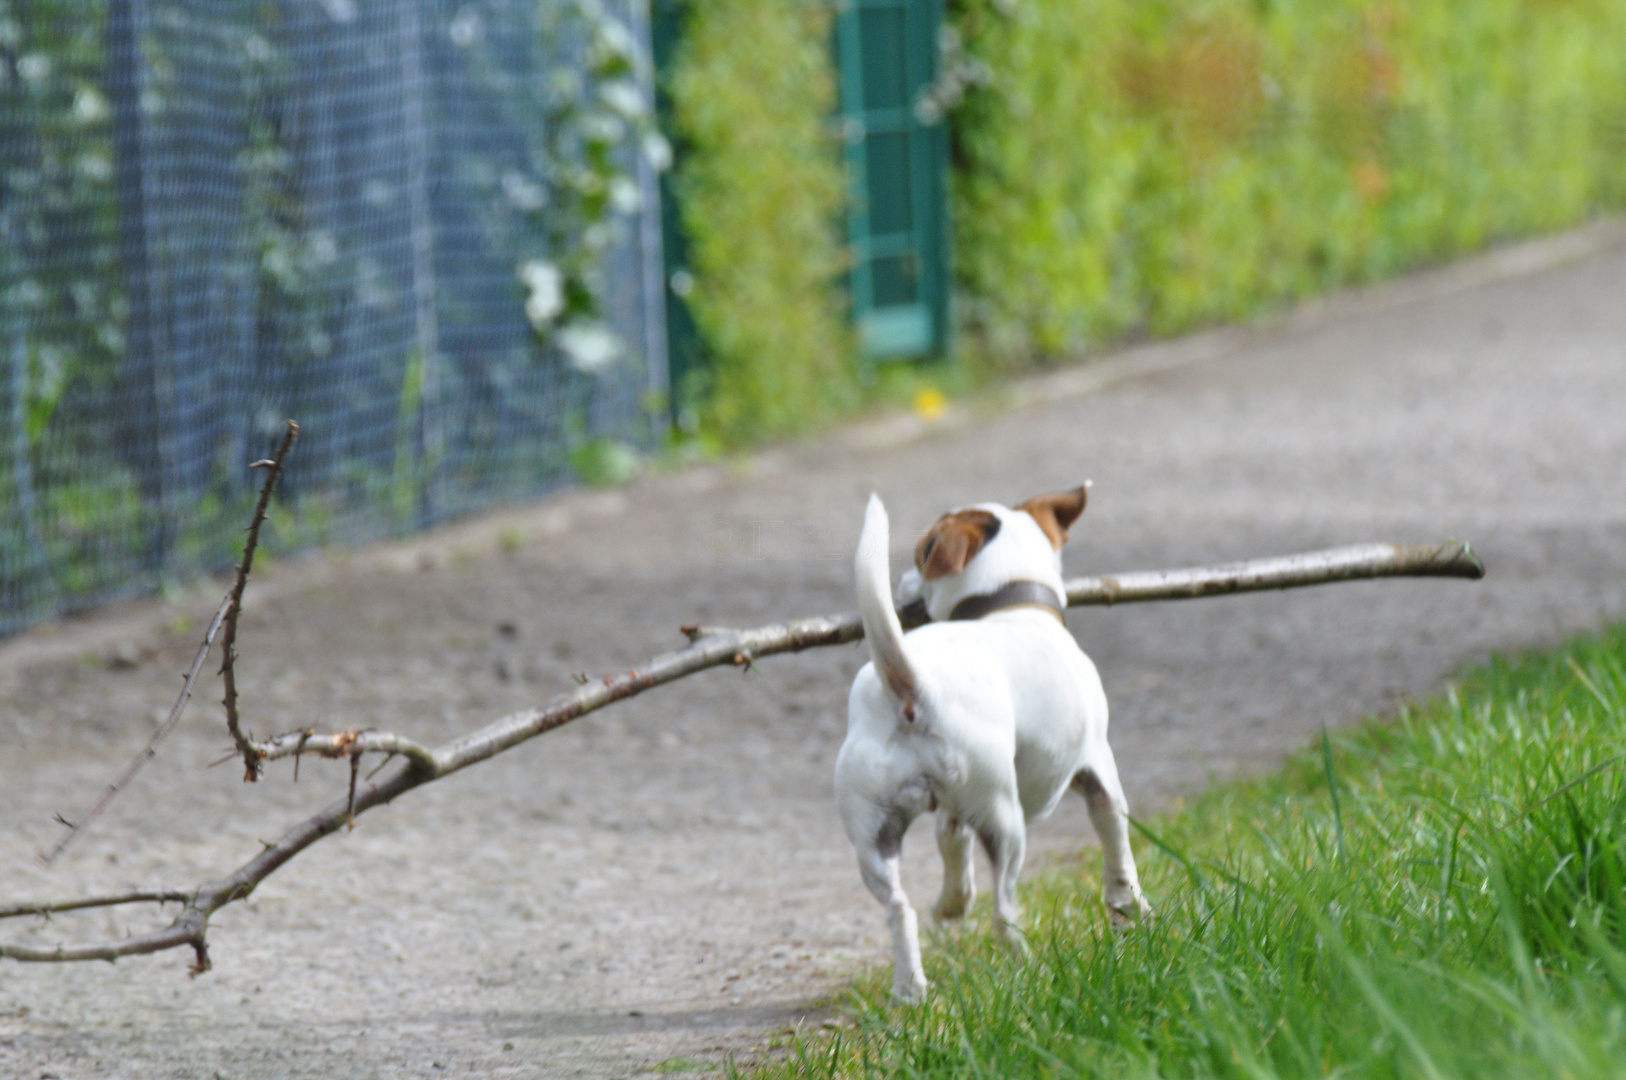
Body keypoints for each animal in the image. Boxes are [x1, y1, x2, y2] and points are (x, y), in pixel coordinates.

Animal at [839, 484, 1144, 1001]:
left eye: (920, 555)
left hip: (874, 835)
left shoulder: (953, 812)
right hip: (1004, 820)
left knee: (899, 908)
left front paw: (951, 905)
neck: (1012, 609)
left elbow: (951, 849)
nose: (902, 579)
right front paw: (1130, 908)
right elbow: (1118, 851)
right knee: (1004, 912)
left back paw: (911, 989)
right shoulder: (1099, 772)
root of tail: (909, 685)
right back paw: (1030, 971)